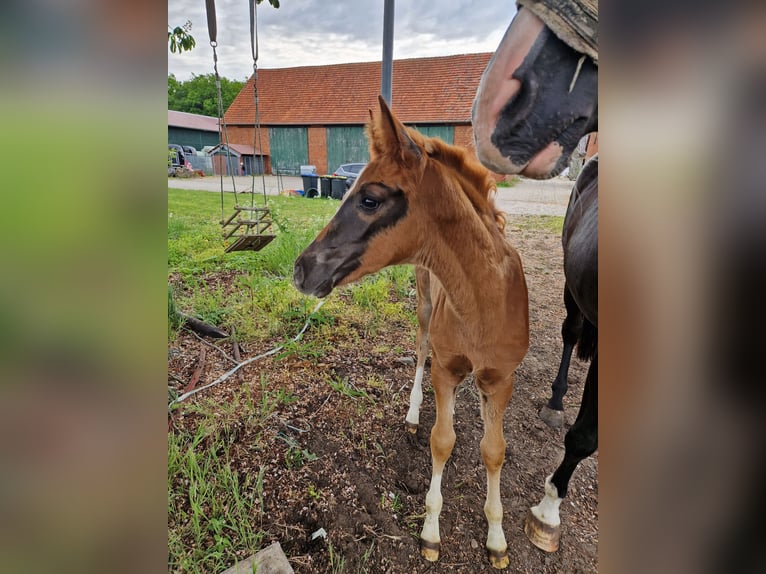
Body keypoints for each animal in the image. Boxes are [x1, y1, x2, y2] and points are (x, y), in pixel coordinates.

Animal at [294, 96, 529, 569]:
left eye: (369, 198)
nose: (301, 269)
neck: (484, 303)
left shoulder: (502, 379)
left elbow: (494, 450)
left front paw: (497, 538)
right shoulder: (446, 368)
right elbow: (442, 440)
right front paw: (431, 531)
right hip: (423, 306)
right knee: (420, 353)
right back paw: (414, 415)